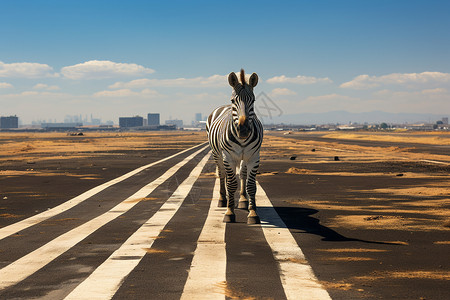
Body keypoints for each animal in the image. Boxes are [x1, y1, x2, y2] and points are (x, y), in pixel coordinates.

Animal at [205, 68, 262, 223]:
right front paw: (229, 212)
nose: (243, 130)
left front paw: (253, 213)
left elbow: (251, 186)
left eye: (253, 100)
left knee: (242, 174)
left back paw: (243, 200)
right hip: (217, 154)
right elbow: (231, 185)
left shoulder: (253, 157)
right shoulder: (228, 157)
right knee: (222, 174)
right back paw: (222, 200)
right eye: (233, 100)